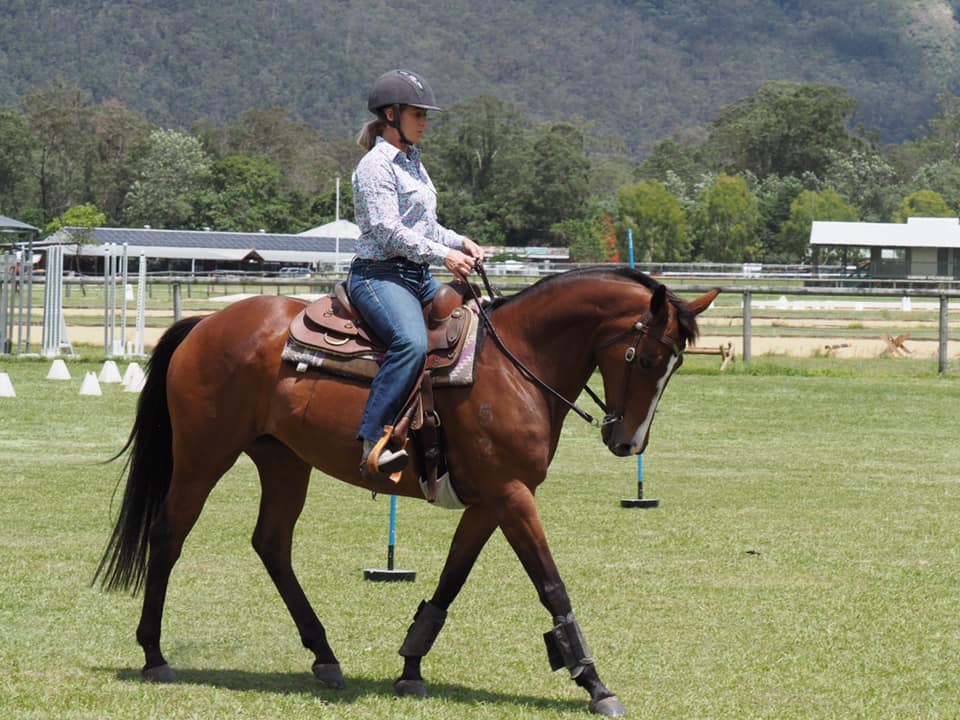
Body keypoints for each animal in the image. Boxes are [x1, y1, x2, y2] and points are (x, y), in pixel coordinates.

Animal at [95, 265, 718, 716]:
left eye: (675, 365)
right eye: (646, 357)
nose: (627, 441)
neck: (515, 363)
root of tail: (205, 323)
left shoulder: (489, 501)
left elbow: (450, 581)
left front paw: (412, 666)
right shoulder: (513, 495)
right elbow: (551, 586)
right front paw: (594, 681)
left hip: (284, 461)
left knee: (271, 544)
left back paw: (325, 657)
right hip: (203, 456)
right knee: (168, 535)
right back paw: (154, 655)